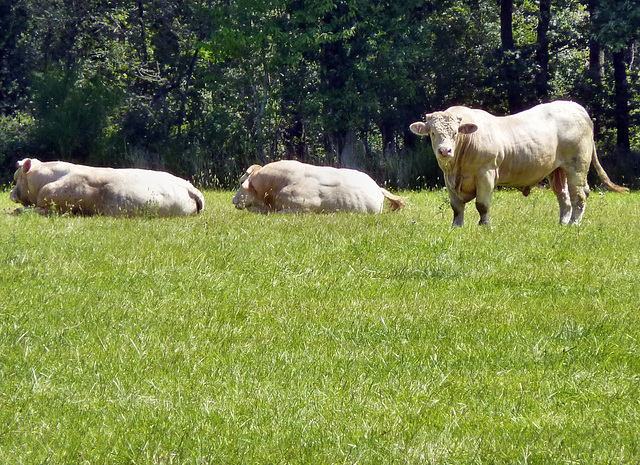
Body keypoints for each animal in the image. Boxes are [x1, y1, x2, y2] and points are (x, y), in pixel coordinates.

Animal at [408, 100, 628, 227]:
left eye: (455, 133)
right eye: (433, 133)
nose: (445, 151)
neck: (458, 167)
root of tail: (578, 108)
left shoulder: (486, 173)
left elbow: (482, 204)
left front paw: (484, 226)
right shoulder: (449, 180)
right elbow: (456, 207)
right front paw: (457, 227)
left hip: (577, 165)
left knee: (579, 195)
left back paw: (574, 224)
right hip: (558, 170)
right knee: (564, 197)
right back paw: (562, 224)